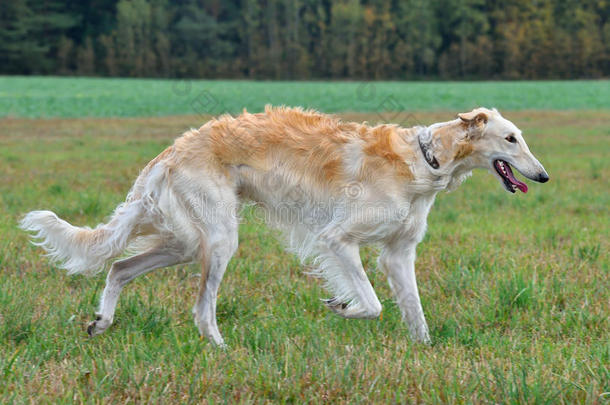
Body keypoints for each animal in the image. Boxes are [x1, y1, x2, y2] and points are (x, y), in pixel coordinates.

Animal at [19, 106, 548, 344]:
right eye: (511, 139)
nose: (542, 176)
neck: (425, 160)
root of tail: (172, 150)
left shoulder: (399, 253)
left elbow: (414, 314)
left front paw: (425, 352)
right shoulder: (337, 238)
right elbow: (373, 303)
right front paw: (341, 305)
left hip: (186, 240)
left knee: (119, 268)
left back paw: (102, 320)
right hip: (218, 240)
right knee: (201, 308)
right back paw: (221, 347)